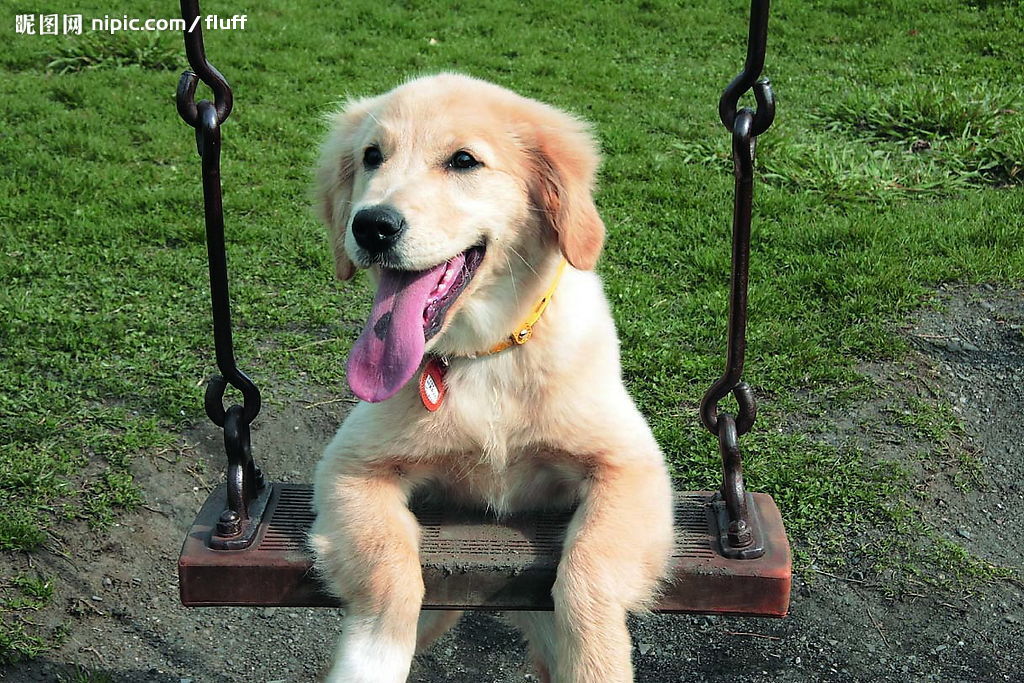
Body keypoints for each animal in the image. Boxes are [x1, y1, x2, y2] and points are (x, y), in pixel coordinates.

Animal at [309, 73, 674, 683]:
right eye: (371, 156)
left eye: (464, 160)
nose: (371, 225)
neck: (486, 354)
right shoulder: (351, 467)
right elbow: (389, 573)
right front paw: (370, 661)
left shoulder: (632, 466)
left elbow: (588, 573)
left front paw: (597, 662)